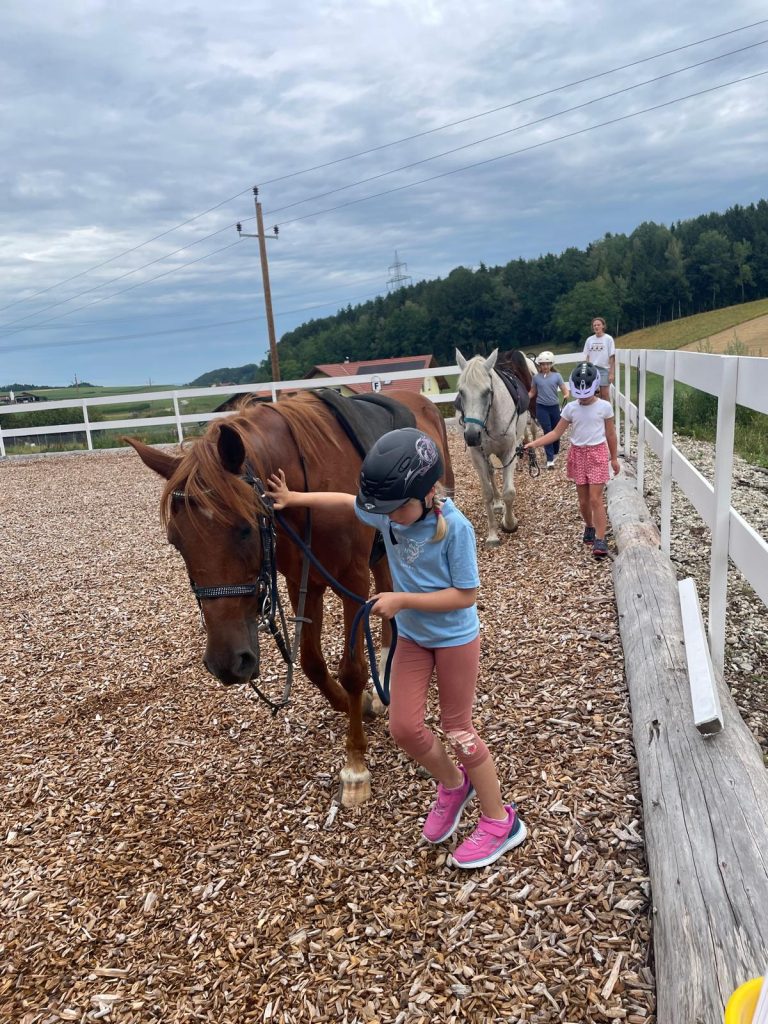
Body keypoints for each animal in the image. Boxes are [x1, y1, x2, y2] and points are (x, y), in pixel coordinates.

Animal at [126, 389, 454, 807]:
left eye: (246, 529)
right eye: (175, 541)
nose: (226, 663)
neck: (306, 490)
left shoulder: (350, 578)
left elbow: (351, 670)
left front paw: (355, 766)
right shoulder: (305, 580)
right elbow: (313, 663)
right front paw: (362, 704)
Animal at [455, 347, 534, 548]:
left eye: (487, 392)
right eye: (461, 392)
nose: (472, 435)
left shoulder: (509, 452)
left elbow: (509, 492)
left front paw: (509, 523)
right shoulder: (477, 455)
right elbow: (487, 493)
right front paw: (492, 534)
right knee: (491, 473)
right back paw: (498, 504)